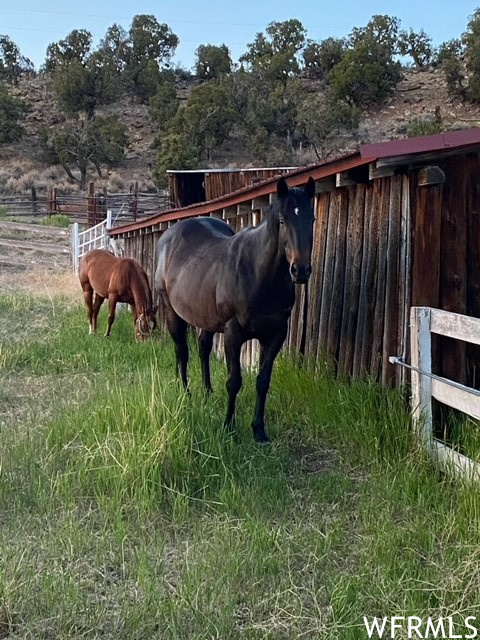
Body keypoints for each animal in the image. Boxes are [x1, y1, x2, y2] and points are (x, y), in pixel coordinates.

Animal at [156, 178, 316, 442]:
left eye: (311, 219)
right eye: (282, 221)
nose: (300, 270)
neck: (259, 274)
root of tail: (167, 238)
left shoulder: (275, 335)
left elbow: (263, 381)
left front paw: (259, 430)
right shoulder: (234, 333)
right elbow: (234, 381)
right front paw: (229, 427)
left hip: (207, 318)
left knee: (203, 349)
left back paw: (207, 393)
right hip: (172, 312)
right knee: (182, 352)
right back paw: (186, 394)